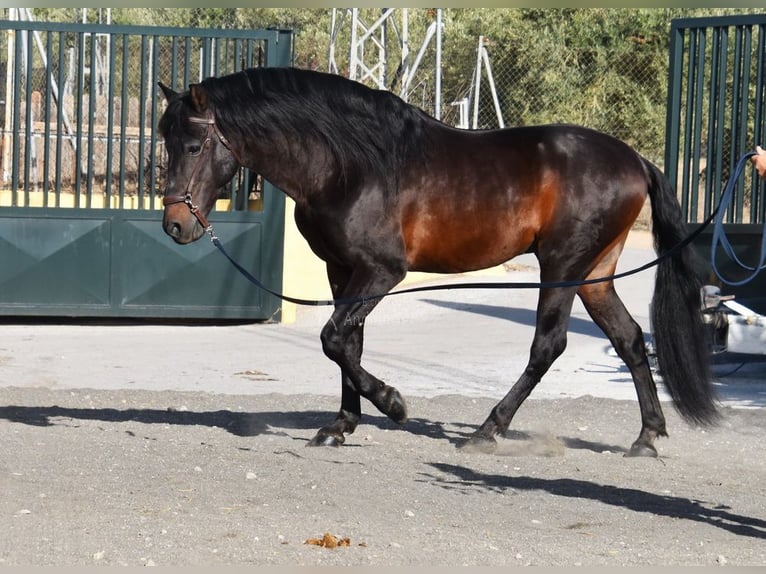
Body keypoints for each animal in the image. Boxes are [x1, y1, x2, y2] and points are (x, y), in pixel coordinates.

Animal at [156, 66, 720, 460]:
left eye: (193, 144)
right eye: (165, 141)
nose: (175, 226)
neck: (347, 164)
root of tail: (635, 160)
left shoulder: (382, 271)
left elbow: (333, 339)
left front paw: (393, 403)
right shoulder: (342, 271)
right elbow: (348, 344)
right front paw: (340, 426)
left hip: (562, 266)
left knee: (548, 345)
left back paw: (488, 430)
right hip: (595, 275)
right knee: (629, 339)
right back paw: (646, 436)